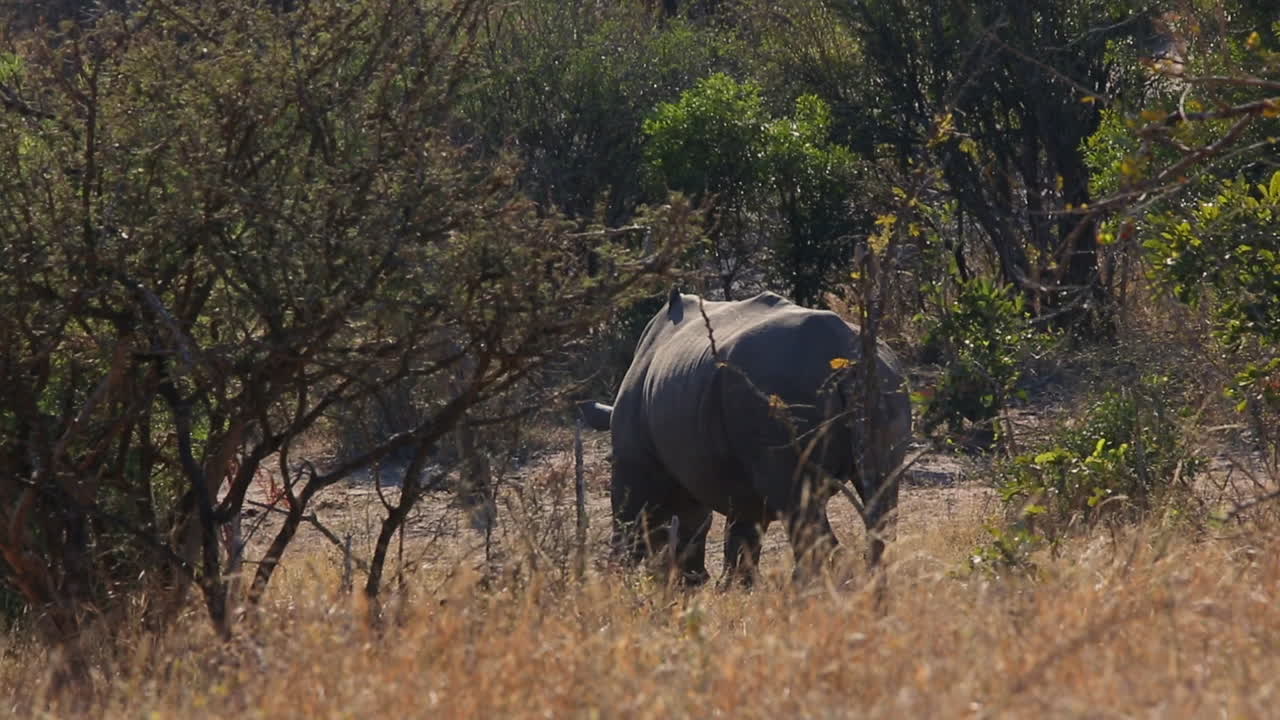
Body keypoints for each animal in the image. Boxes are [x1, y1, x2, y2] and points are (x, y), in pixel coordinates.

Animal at [583, 289, 912, 586]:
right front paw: (730, 588)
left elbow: (630, 521)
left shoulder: (635, 463)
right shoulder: (724, 476)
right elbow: (736, 538)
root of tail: (847, 360)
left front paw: (619, 582)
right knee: (881, 496)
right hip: (887, 382)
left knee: (800, 509)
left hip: (783, 394)